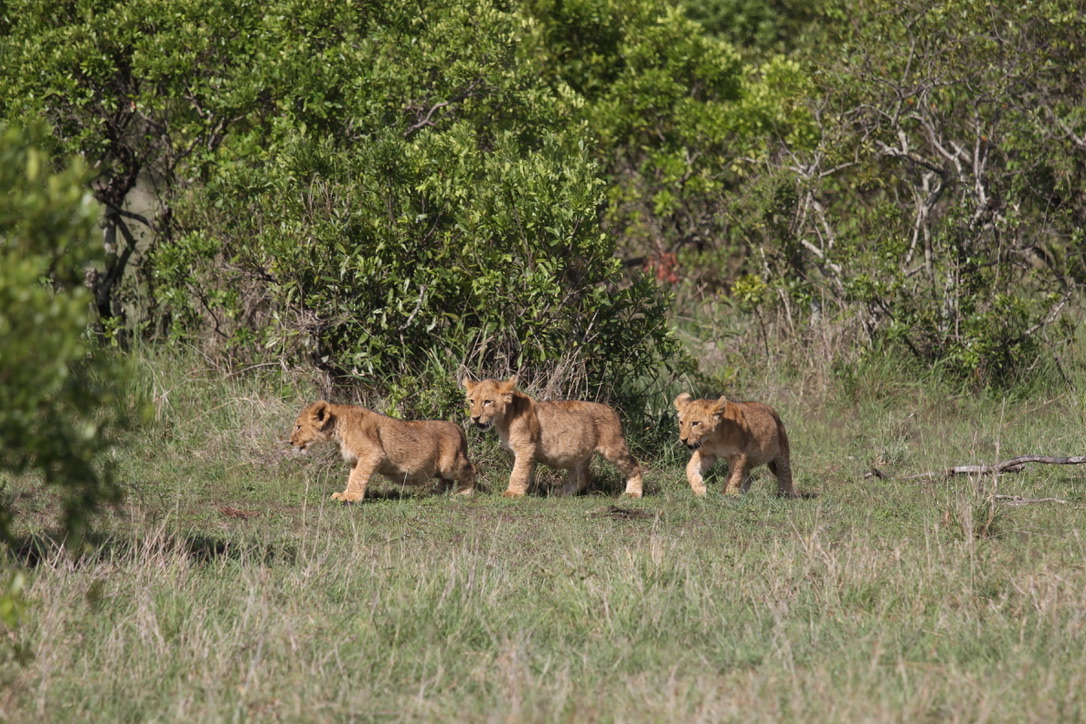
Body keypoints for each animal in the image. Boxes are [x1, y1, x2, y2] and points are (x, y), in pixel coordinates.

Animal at [290, 400, 475, 502]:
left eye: (299, 427)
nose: (290, 442)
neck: (337, 429)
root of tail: (457, 426)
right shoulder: (356, 460)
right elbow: (354, 478)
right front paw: (345, 494)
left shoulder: (373, 454)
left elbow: (359, 478)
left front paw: (352, 498)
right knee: (446, 481)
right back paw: (436, 492)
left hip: (449, 463)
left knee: (470, 469)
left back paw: (465, 493)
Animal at [462, 377, 643, 498]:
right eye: (472, 401)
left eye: (487, 401)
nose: (475, 418)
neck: (504, 420)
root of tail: (614, 412)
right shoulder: (521, 452)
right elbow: (525, 471)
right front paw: (527, 490)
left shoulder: (526, 447)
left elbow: (518, 472)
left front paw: (512, 493)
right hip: (577, 453)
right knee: (582, 477)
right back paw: (561, 492)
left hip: (613, 448)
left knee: (634, 465)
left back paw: (633, 493)